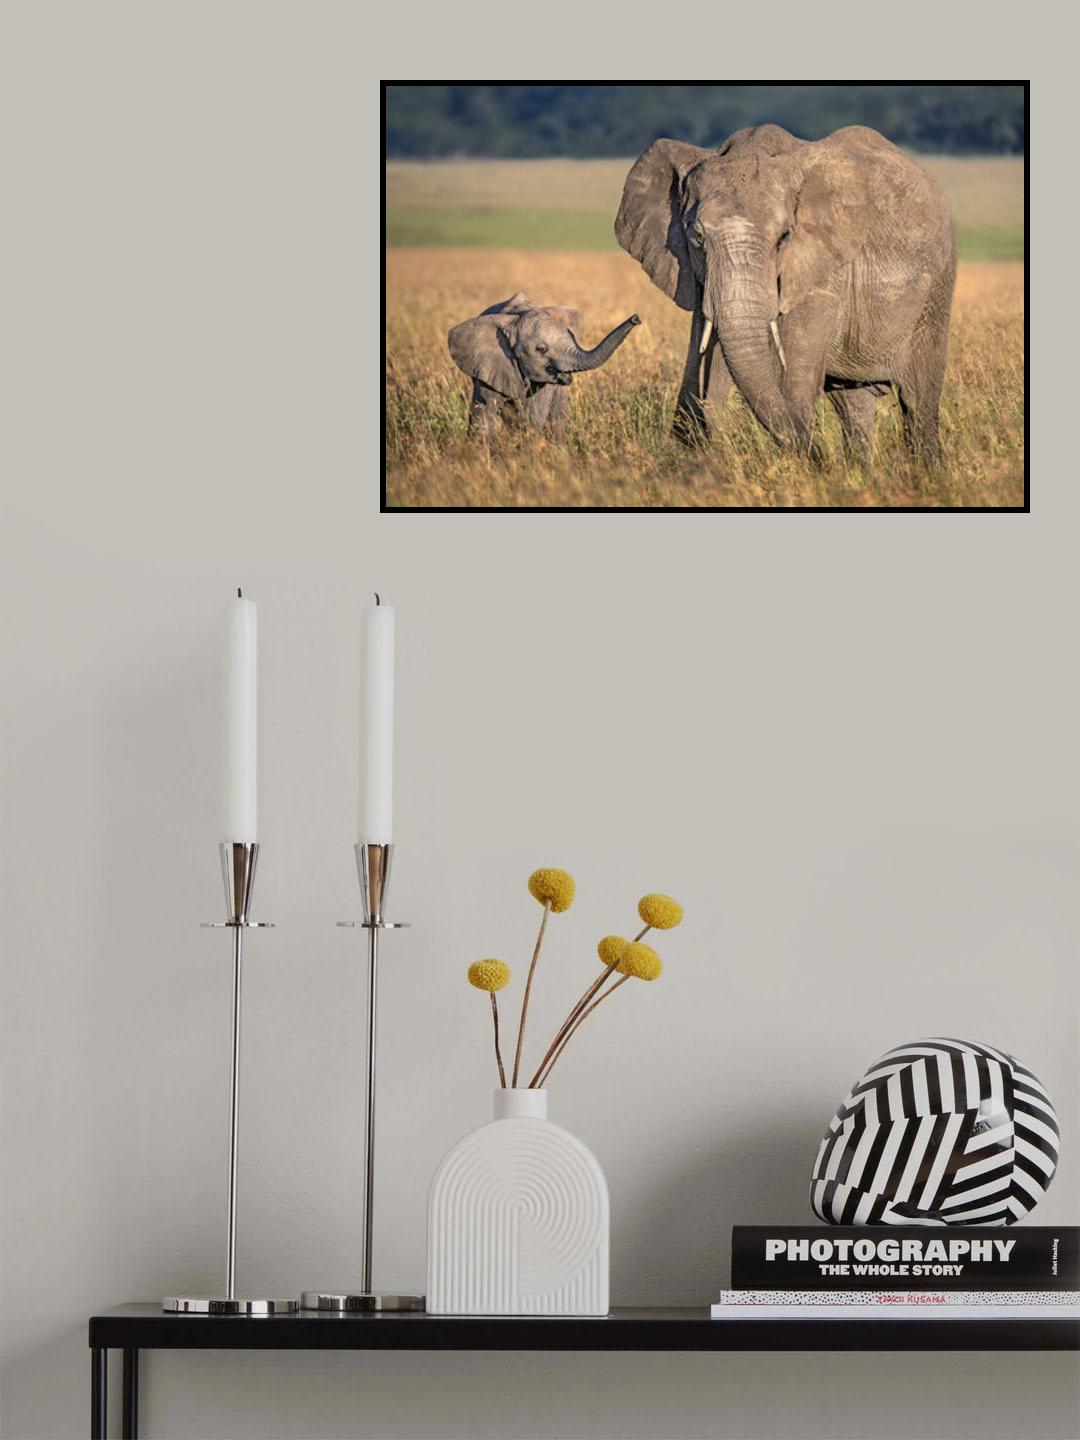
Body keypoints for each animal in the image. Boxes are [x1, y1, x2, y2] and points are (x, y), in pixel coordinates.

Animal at [448, 293, 640, 437]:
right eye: (541, 349)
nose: (636, 318)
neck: (515, 322)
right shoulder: (490, 365)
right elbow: (485, 410)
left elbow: (534, 415)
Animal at [615, 124, 955, 462]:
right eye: (696, 237)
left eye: (783, 237)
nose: (822, 457)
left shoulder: (822, 273)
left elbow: (791, 382)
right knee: (853, 403)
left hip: (936, 291)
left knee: (918, 398)